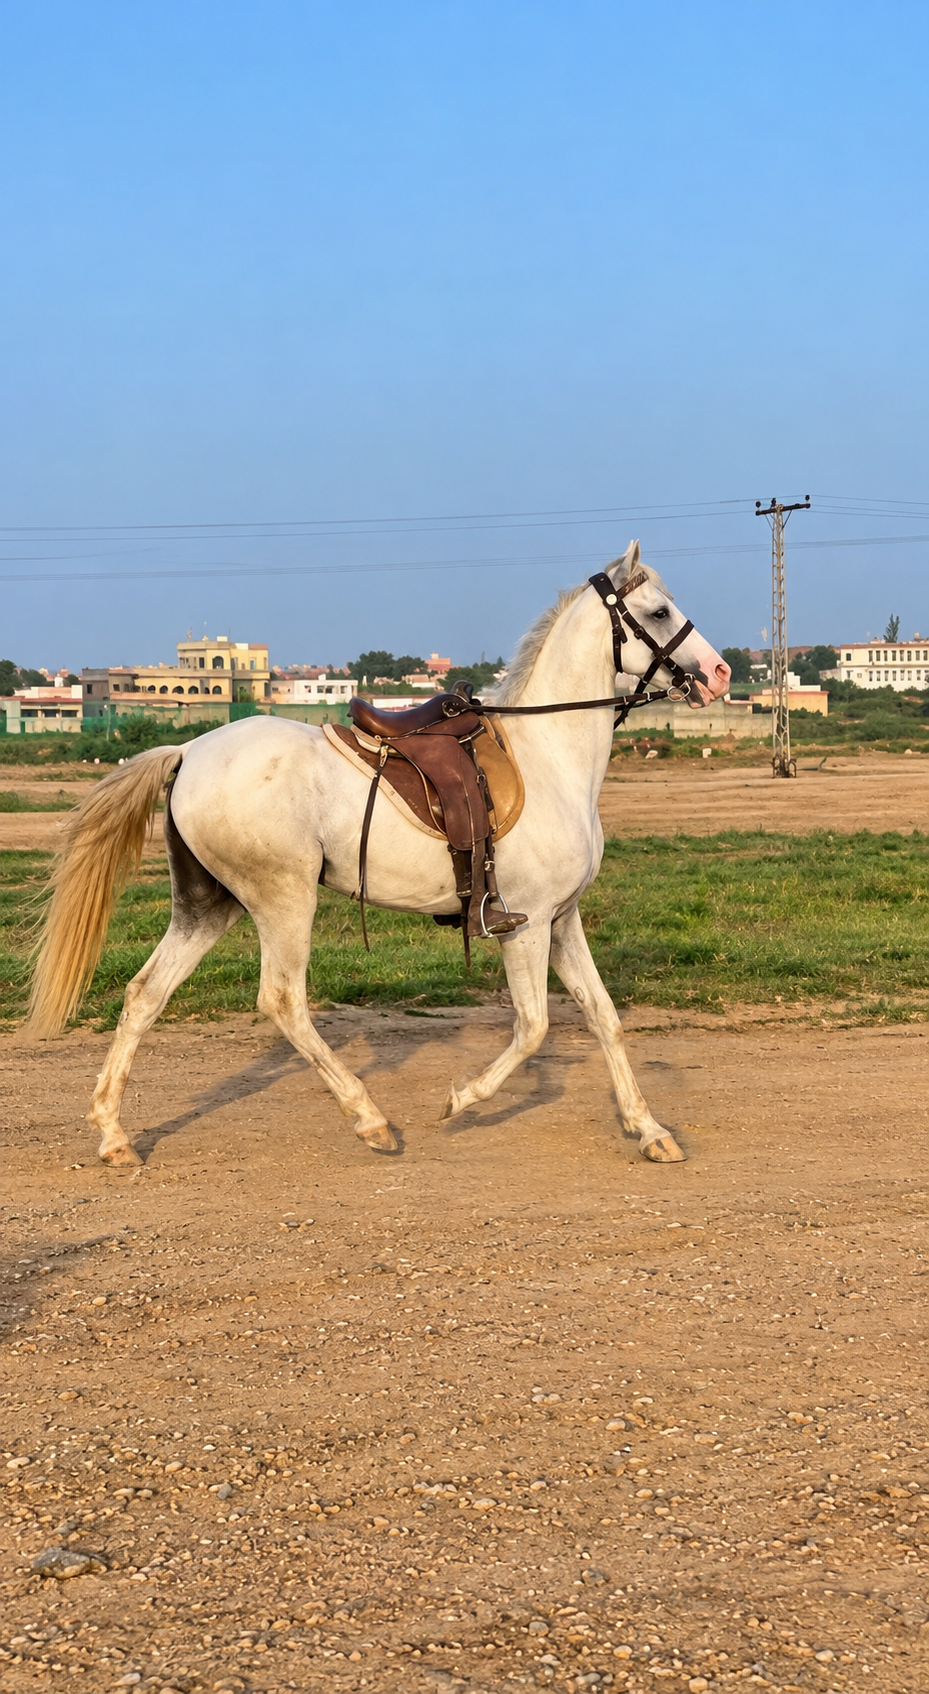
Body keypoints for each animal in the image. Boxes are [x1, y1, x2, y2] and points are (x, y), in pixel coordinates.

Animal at [28, 541, 730, 1167]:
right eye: (659, 611)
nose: (721, 674)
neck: (549, 754)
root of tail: (188, 751)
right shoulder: (524, 925)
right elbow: (533, 1028)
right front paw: (461, 1099)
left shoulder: (562, 920)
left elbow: (604, 1017)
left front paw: (648, 1129)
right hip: (283, 900)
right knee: (283, 1001)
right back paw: (370, 1119)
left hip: (208, 906)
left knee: (145, 994)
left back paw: (113, 1135)